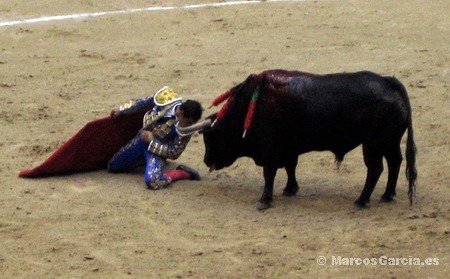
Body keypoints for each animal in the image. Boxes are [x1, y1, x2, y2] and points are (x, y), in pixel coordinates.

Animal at [178, 69, 416, 210]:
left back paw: (361, 200)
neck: (250, 107)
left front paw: (264, 200)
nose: (207, 161)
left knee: (376, 168)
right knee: (395, 162)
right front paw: (290, 189)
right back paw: (387, 194)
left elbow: (270, 173)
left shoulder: (270, 149)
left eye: (210, 138)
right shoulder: (288, 148)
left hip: (373, 144)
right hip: (390, 141)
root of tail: (389, 82)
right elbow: (291, 167)